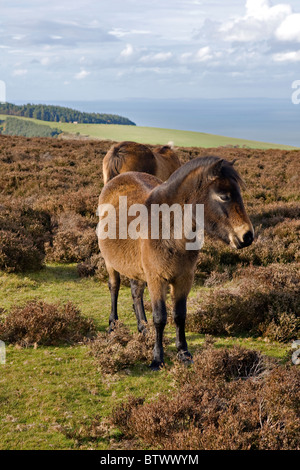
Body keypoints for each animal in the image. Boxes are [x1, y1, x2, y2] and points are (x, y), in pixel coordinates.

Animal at [98, 158, 253, 370]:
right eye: (224, 196)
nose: (247, 236)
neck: (169, 230)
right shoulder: (156, 279)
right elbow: (160, 317)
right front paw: (157, 358)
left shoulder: (183, 279)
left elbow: (179, 315)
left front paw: (184, 353)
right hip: (111, 263)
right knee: (114, 288)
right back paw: (113, 326)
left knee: (136, 293)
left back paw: (143, 328)